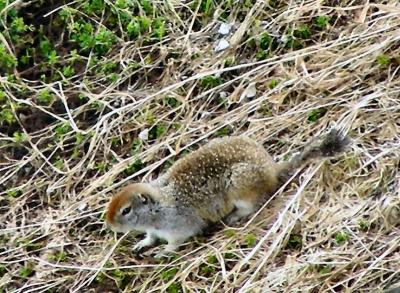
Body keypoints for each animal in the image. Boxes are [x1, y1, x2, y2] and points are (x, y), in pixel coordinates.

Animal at [106, 129, 350, 256]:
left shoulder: (178, 225)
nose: (110, 226)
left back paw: (234, 216)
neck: (161, 205)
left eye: (126, 210)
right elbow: (150, 237)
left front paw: (163, 251)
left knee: (254, 204)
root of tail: (272, 168)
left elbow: (177, 240)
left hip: (239, 187)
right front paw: (142, 244)